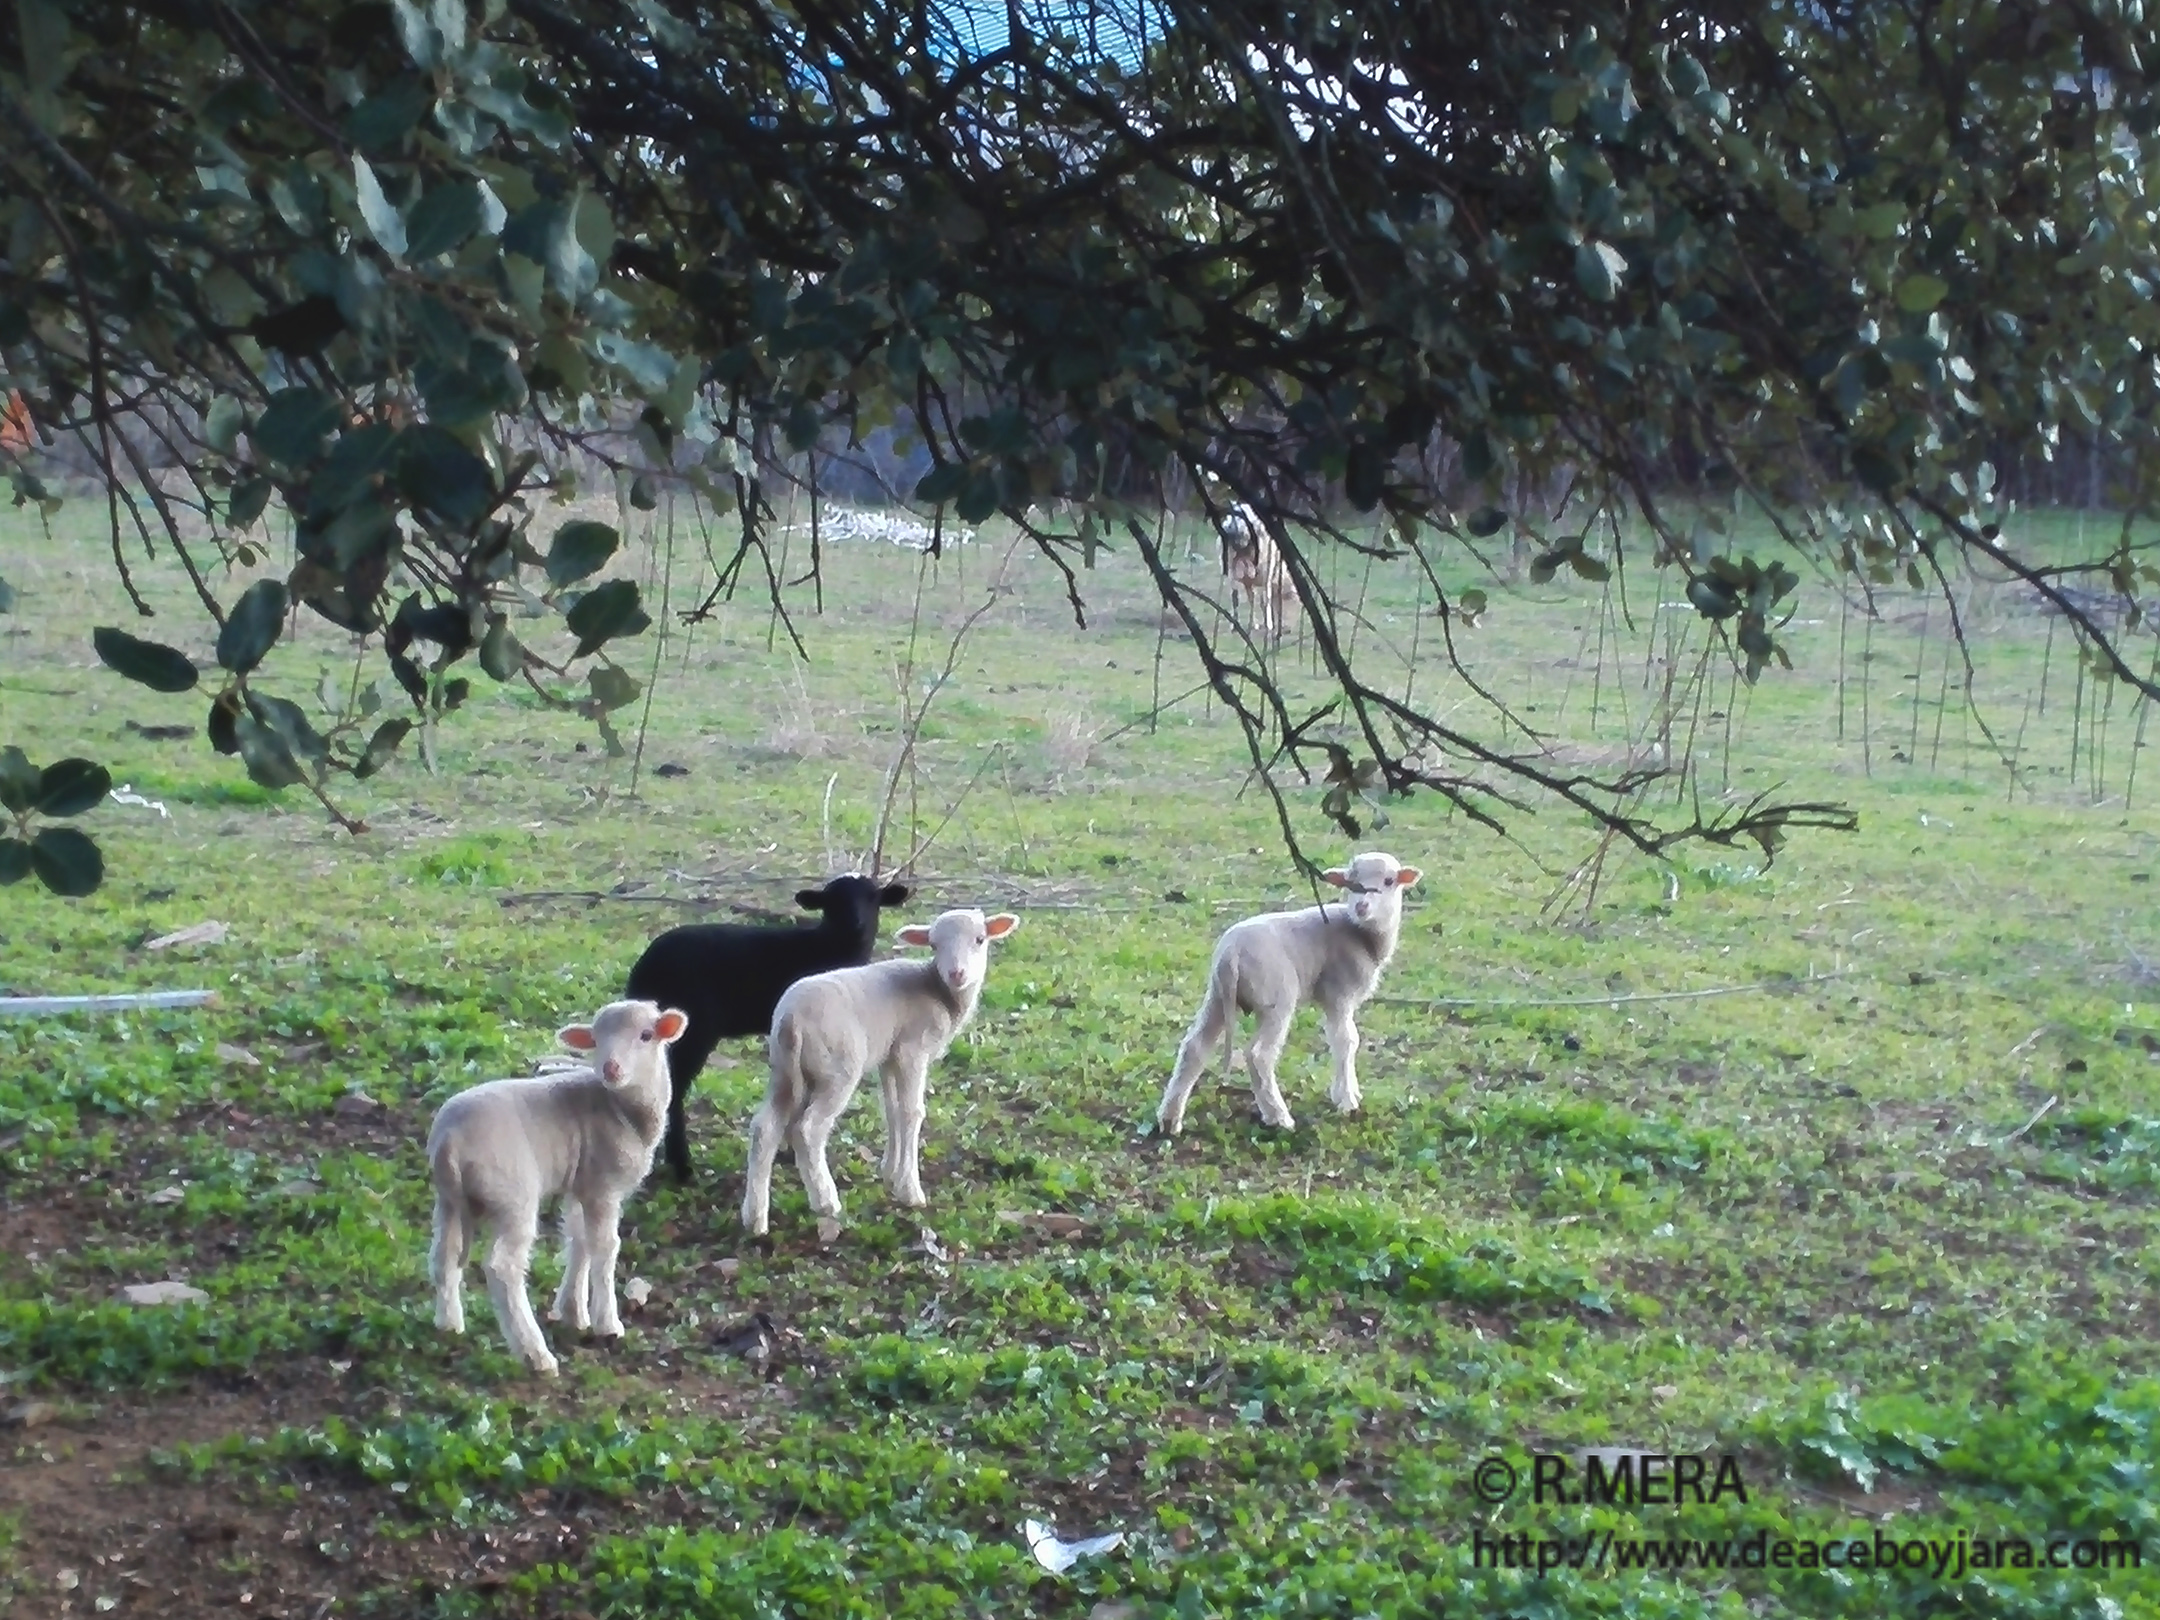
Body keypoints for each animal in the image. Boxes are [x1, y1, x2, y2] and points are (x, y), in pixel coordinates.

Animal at [427, 1010, 682, 1373]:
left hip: (450, 1198)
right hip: (513, 1194)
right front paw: (608, 1323)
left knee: (444, 1255)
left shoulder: (582, 1183)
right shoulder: (603, 1185)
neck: (621, 1108)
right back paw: (535, 1354)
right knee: (503, 1268)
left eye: (646, 1035)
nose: (610, 1068)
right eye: (596, 1039)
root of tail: (450, 1141)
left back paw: (449, 1324)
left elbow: (579, 1240)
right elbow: (605, 1247)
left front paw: (573, 1311)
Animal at [622, 881, 907, 1183]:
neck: (826, 947)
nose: (856, 923)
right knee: (674, 1091)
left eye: (873, 897)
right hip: (694, 1031)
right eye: (832, 902)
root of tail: (644, 969)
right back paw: (682, 1167)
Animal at [743, 907, 1019, 1235]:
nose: (957, 974)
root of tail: (790, 1020)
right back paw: (825, 1200)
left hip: (784, 1069)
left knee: (764, 1128)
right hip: (837, 1068)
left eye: (980, 939)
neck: (938, 991)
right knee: (808, 1129)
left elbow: (892, 1110)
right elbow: (912, 1112)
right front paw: (910, 1190)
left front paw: (889, 1171)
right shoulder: (912, 1050)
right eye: (934, 945)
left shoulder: (890, 1056)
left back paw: (755, 1218)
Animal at [1166, 855, 1416, 1131]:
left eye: (1389, 881)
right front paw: (1347, 1101)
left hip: (1218, 994)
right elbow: (1347, 1040)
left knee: (1195, 1047)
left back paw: (1170, 1120)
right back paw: (1279, 1117)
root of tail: (1232, 954)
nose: (1362, 906)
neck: (1361, 933)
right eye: (1350, 881)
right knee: (1259, 1055)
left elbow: (1338, 1039)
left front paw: (1347, 1092)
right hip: (1277, 995)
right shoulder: (1338, 991)